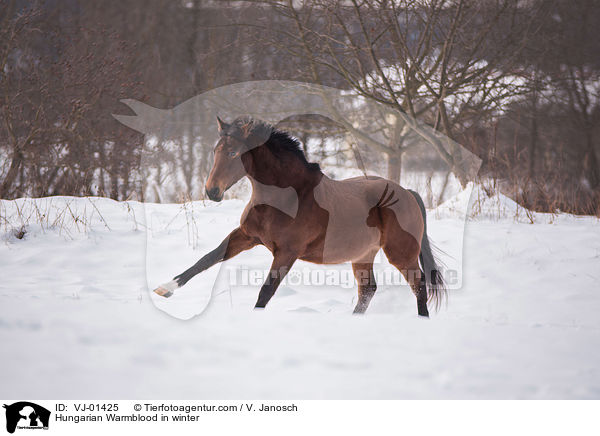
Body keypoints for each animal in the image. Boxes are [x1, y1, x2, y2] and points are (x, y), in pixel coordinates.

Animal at [155, 116, 446, 316]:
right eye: (215, 151)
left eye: (232, 153)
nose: (212, 191)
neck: (283, 197)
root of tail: (407, 193)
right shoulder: (247, 236)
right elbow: (206, 259)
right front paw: (164, 289)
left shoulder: (287, 252)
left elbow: (266, 290)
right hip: (363, 254)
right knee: (368, 290)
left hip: (400, 252)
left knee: (419, 286)